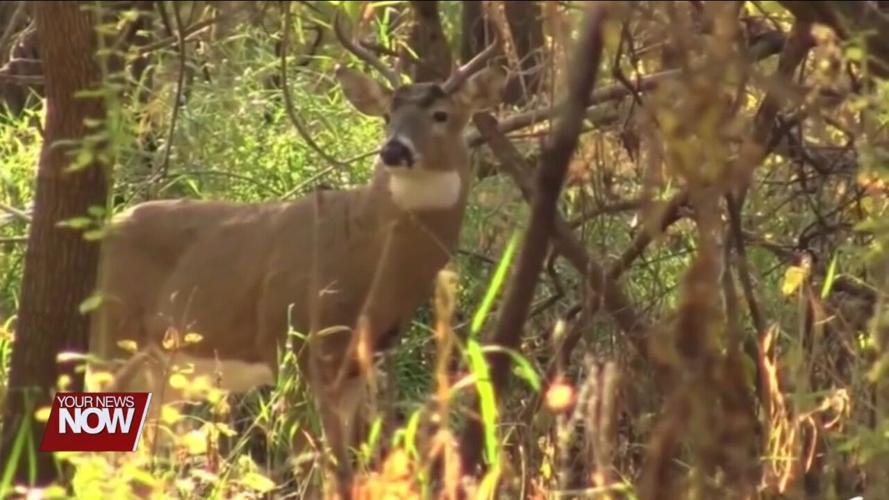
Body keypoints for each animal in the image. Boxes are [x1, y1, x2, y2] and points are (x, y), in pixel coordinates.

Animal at [85, 14, 505, 488]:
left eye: (441, 115)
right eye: (387, 116)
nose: (394, 150)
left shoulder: (355, 367)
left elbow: (343, 469)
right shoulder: (289, 341)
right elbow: (314, 462)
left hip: (166, 371)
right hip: (112, 337)